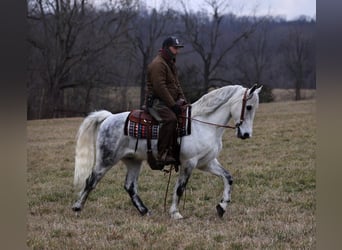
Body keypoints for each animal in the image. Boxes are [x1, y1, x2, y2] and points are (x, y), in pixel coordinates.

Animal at [71, 84, 262, 219]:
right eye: (249, 107)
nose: (246, 134)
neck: (202, 124)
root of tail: (109, 117)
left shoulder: (206, 162)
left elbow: (228, 178)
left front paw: (222, 207)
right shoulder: (189, 163)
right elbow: (180, 188)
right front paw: (175, 213)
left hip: (133, 161)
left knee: (130, 186)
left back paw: (144, 211)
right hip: (106, 160)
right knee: (91, 181)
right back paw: (77, 207)